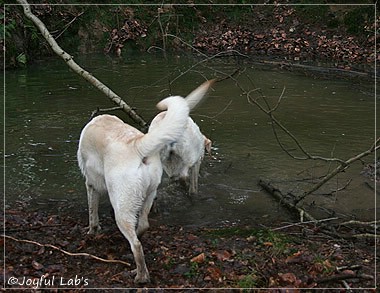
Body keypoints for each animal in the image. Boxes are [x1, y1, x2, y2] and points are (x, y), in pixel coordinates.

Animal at [77, 78, 214, 282]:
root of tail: (138, 146)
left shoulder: (91, 185)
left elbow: (92, 213)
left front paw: (92, 232)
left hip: (123, 207)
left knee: (136, 245)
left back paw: (141, 275)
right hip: (147, 194)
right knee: (143, 226)